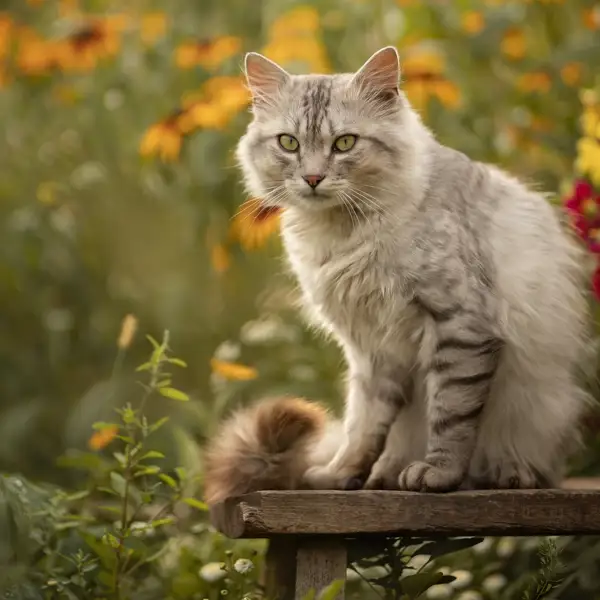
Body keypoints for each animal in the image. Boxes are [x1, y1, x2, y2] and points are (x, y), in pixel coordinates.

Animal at [204, 45, 588, 496]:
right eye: (289, 143)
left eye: (345, 143)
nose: (313, 177)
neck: (344, 233)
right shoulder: (371, 346)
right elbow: (364, 424)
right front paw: (340, 474)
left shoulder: (460, 324)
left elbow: (450, 416)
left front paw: (438, 473)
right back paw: (382, 475)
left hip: (542, 403)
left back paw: (506, 472)